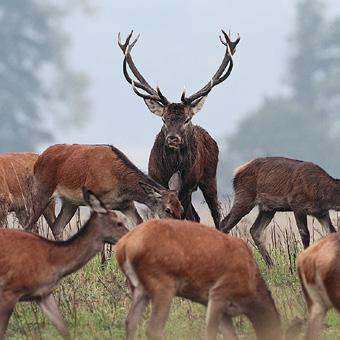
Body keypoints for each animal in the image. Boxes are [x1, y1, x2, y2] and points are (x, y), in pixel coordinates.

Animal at [0, 187, 129, 338]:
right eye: (119, 222)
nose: (130, 235)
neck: (52, 260)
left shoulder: (43, 294)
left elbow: (64, 329)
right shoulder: (10, 290)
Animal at [24, 143, 183, 239]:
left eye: (181, 208)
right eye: (168, 209)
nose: (178, 230)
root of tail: (38, 160)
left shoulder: (126, 204)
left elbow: (138, 223)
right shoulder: (96, 199)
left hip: (70, 202)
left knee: (57, 226)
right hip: (40, 191)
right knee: (27, 225)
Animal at [115, 219, 282, 338]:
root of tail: (123, 246)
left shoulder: (224, 310)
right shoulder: (219, 292)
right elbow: (211, 332)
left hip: (138, 287)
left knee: (130, 322)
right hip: (162, 282)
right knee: (152, 329)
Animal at [118, 29, 240, 228]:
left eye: (186, 119)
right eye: (163, 119)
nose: (173, 138)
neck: (172, 165)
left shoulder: (188, 186)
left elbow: (185, 216)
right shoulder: (157, 180)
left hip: (209, 177)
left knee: (215, 214)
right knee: (196, 216)